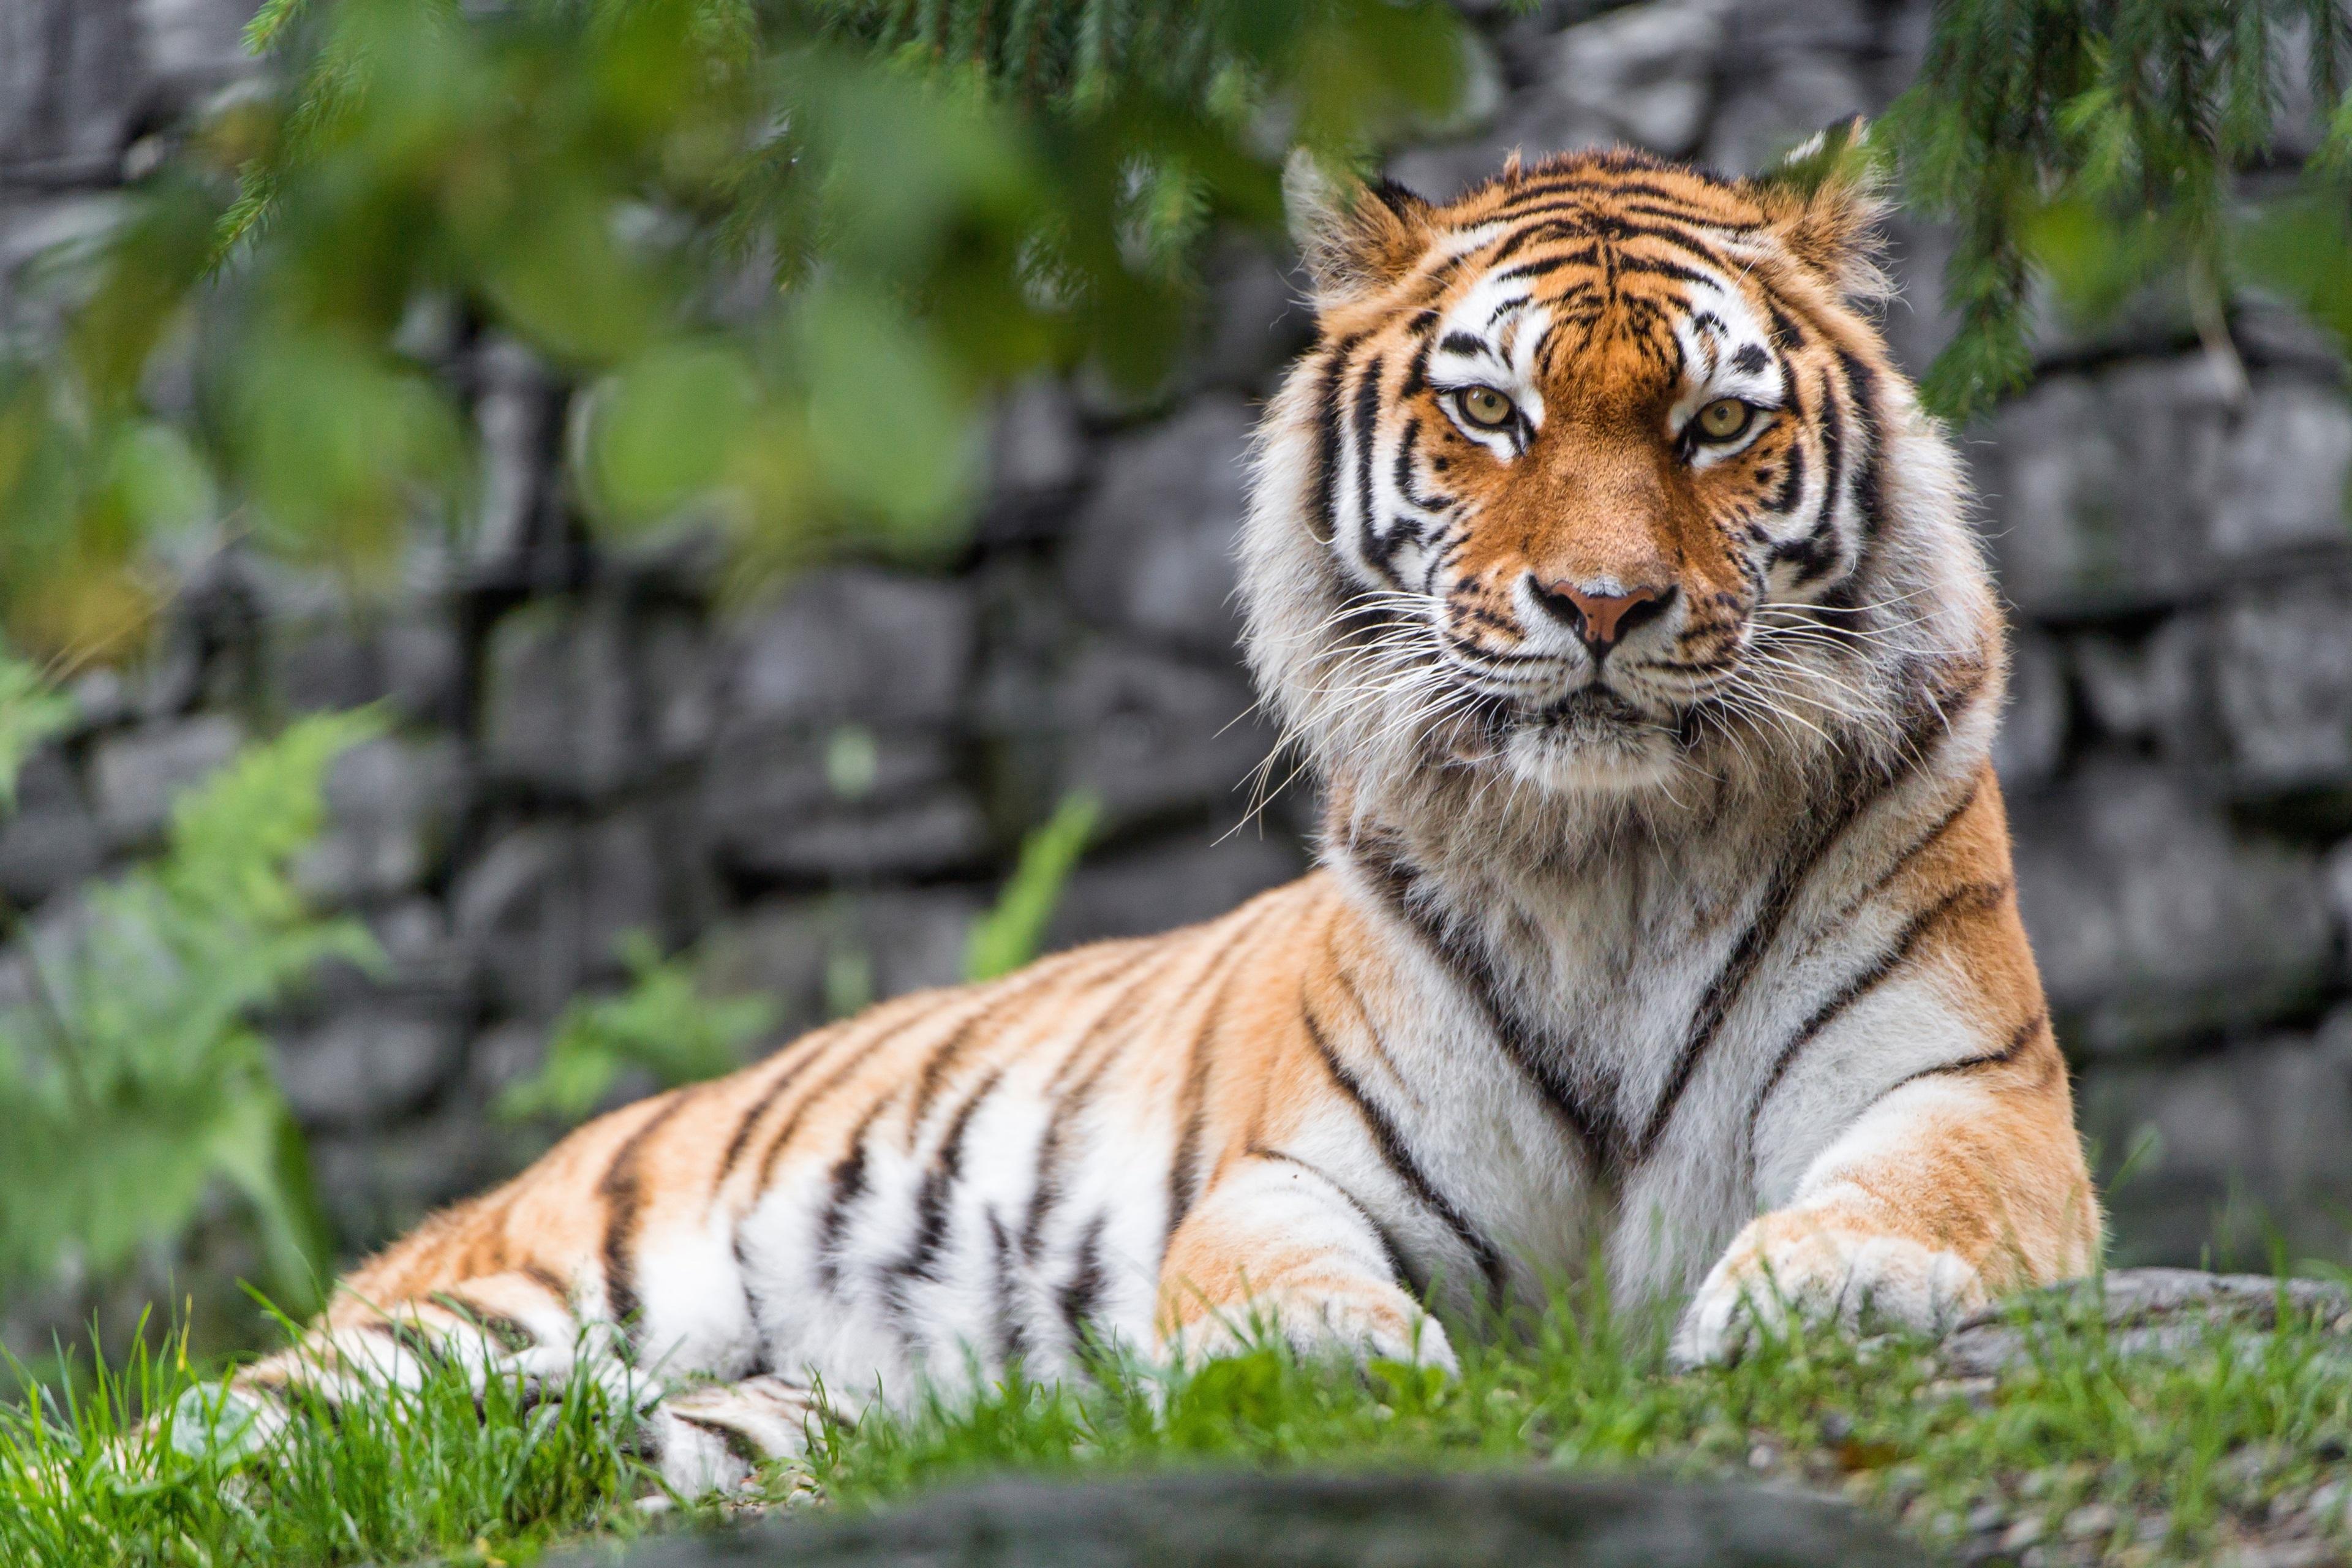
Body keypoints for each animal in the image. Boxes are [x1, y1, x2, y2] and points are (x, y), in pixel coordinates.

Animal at [205, 135, 2099, 1493]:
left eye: (1714, 423)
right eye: (1491, 410)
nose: (1604, 603)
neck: (1608, 862)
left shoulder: (1973, 1090)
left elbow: (1914, 1189)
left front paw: (1824, 1287)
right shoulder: (1296, 1166)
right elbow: (1263, 1273)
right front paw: (1320, 1361)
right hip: (521, 1289)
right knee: (211, 1431)